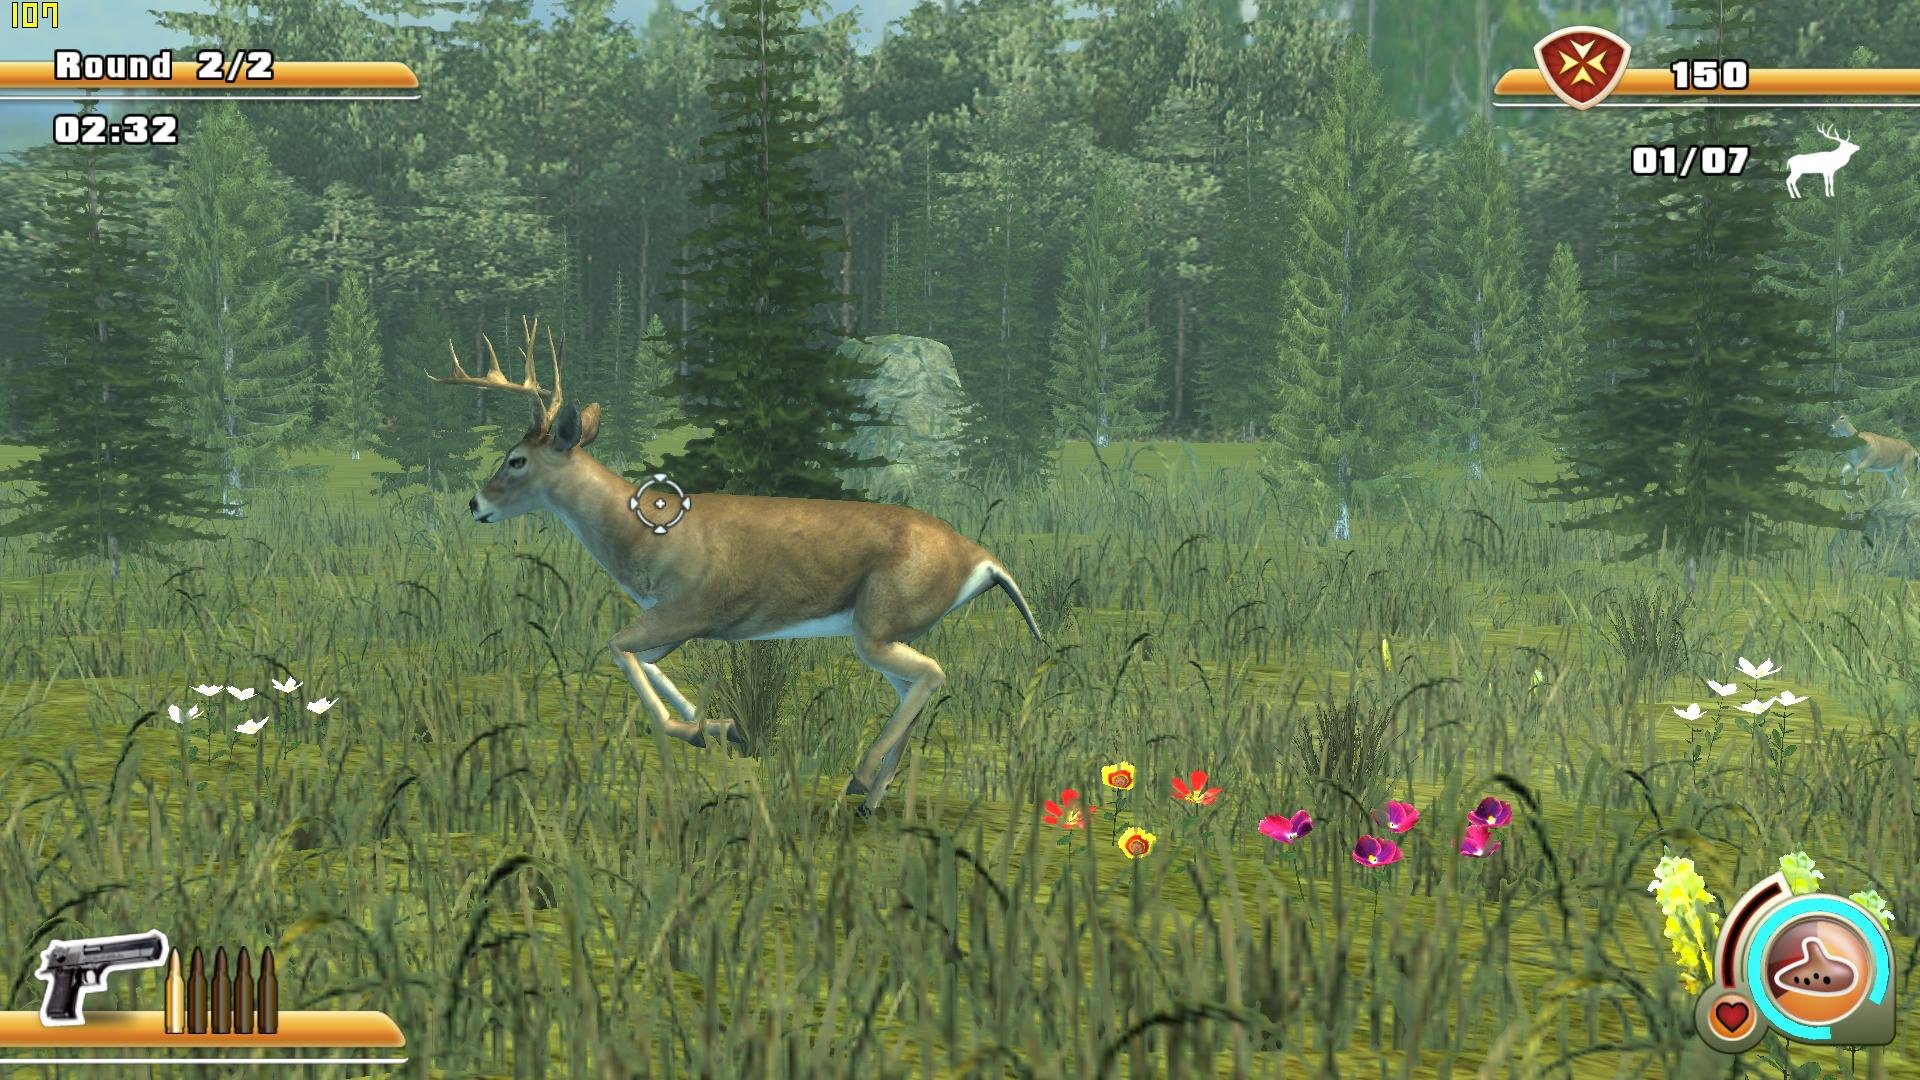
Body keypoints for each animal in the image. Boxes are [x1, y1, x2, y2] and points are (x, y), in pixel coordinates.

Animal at [430, 318, 1042, 813]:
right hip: (890, 628)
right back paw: (872, 796)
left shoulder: (691, 605)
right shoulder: (679, 621)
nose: (475, 504)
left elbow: (618, 647)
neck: (641, 530)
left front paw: (701, 730)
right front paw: (724, 726)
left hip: (878, 621)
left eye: (515, 460)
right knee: (913, 688)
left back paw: (859, 778)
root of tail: (983, 559)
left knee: (933, 674)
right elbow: (644, 660)